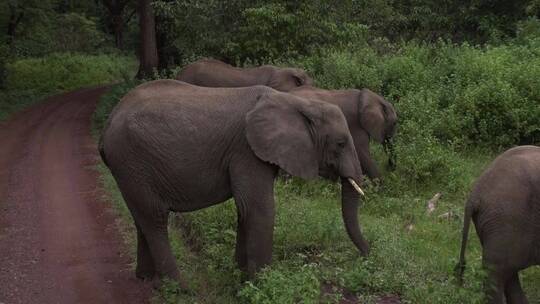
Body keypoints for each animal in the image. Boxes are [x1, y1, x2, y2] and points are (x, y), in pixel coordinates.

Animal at [100, 79, 372, 286]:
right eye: (340, 144)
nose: (367, 255)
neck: (294, 102)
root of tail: (109, 121)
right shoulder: (246, 150)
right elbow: (258, 207)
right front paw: (262, 283)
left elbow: (245, 209)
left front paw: (242, 276)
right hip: (130, 160)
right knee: (155, 218)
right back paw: (179, 287)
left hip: (129, 169)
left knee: (142, 218)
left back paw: (147, 280)